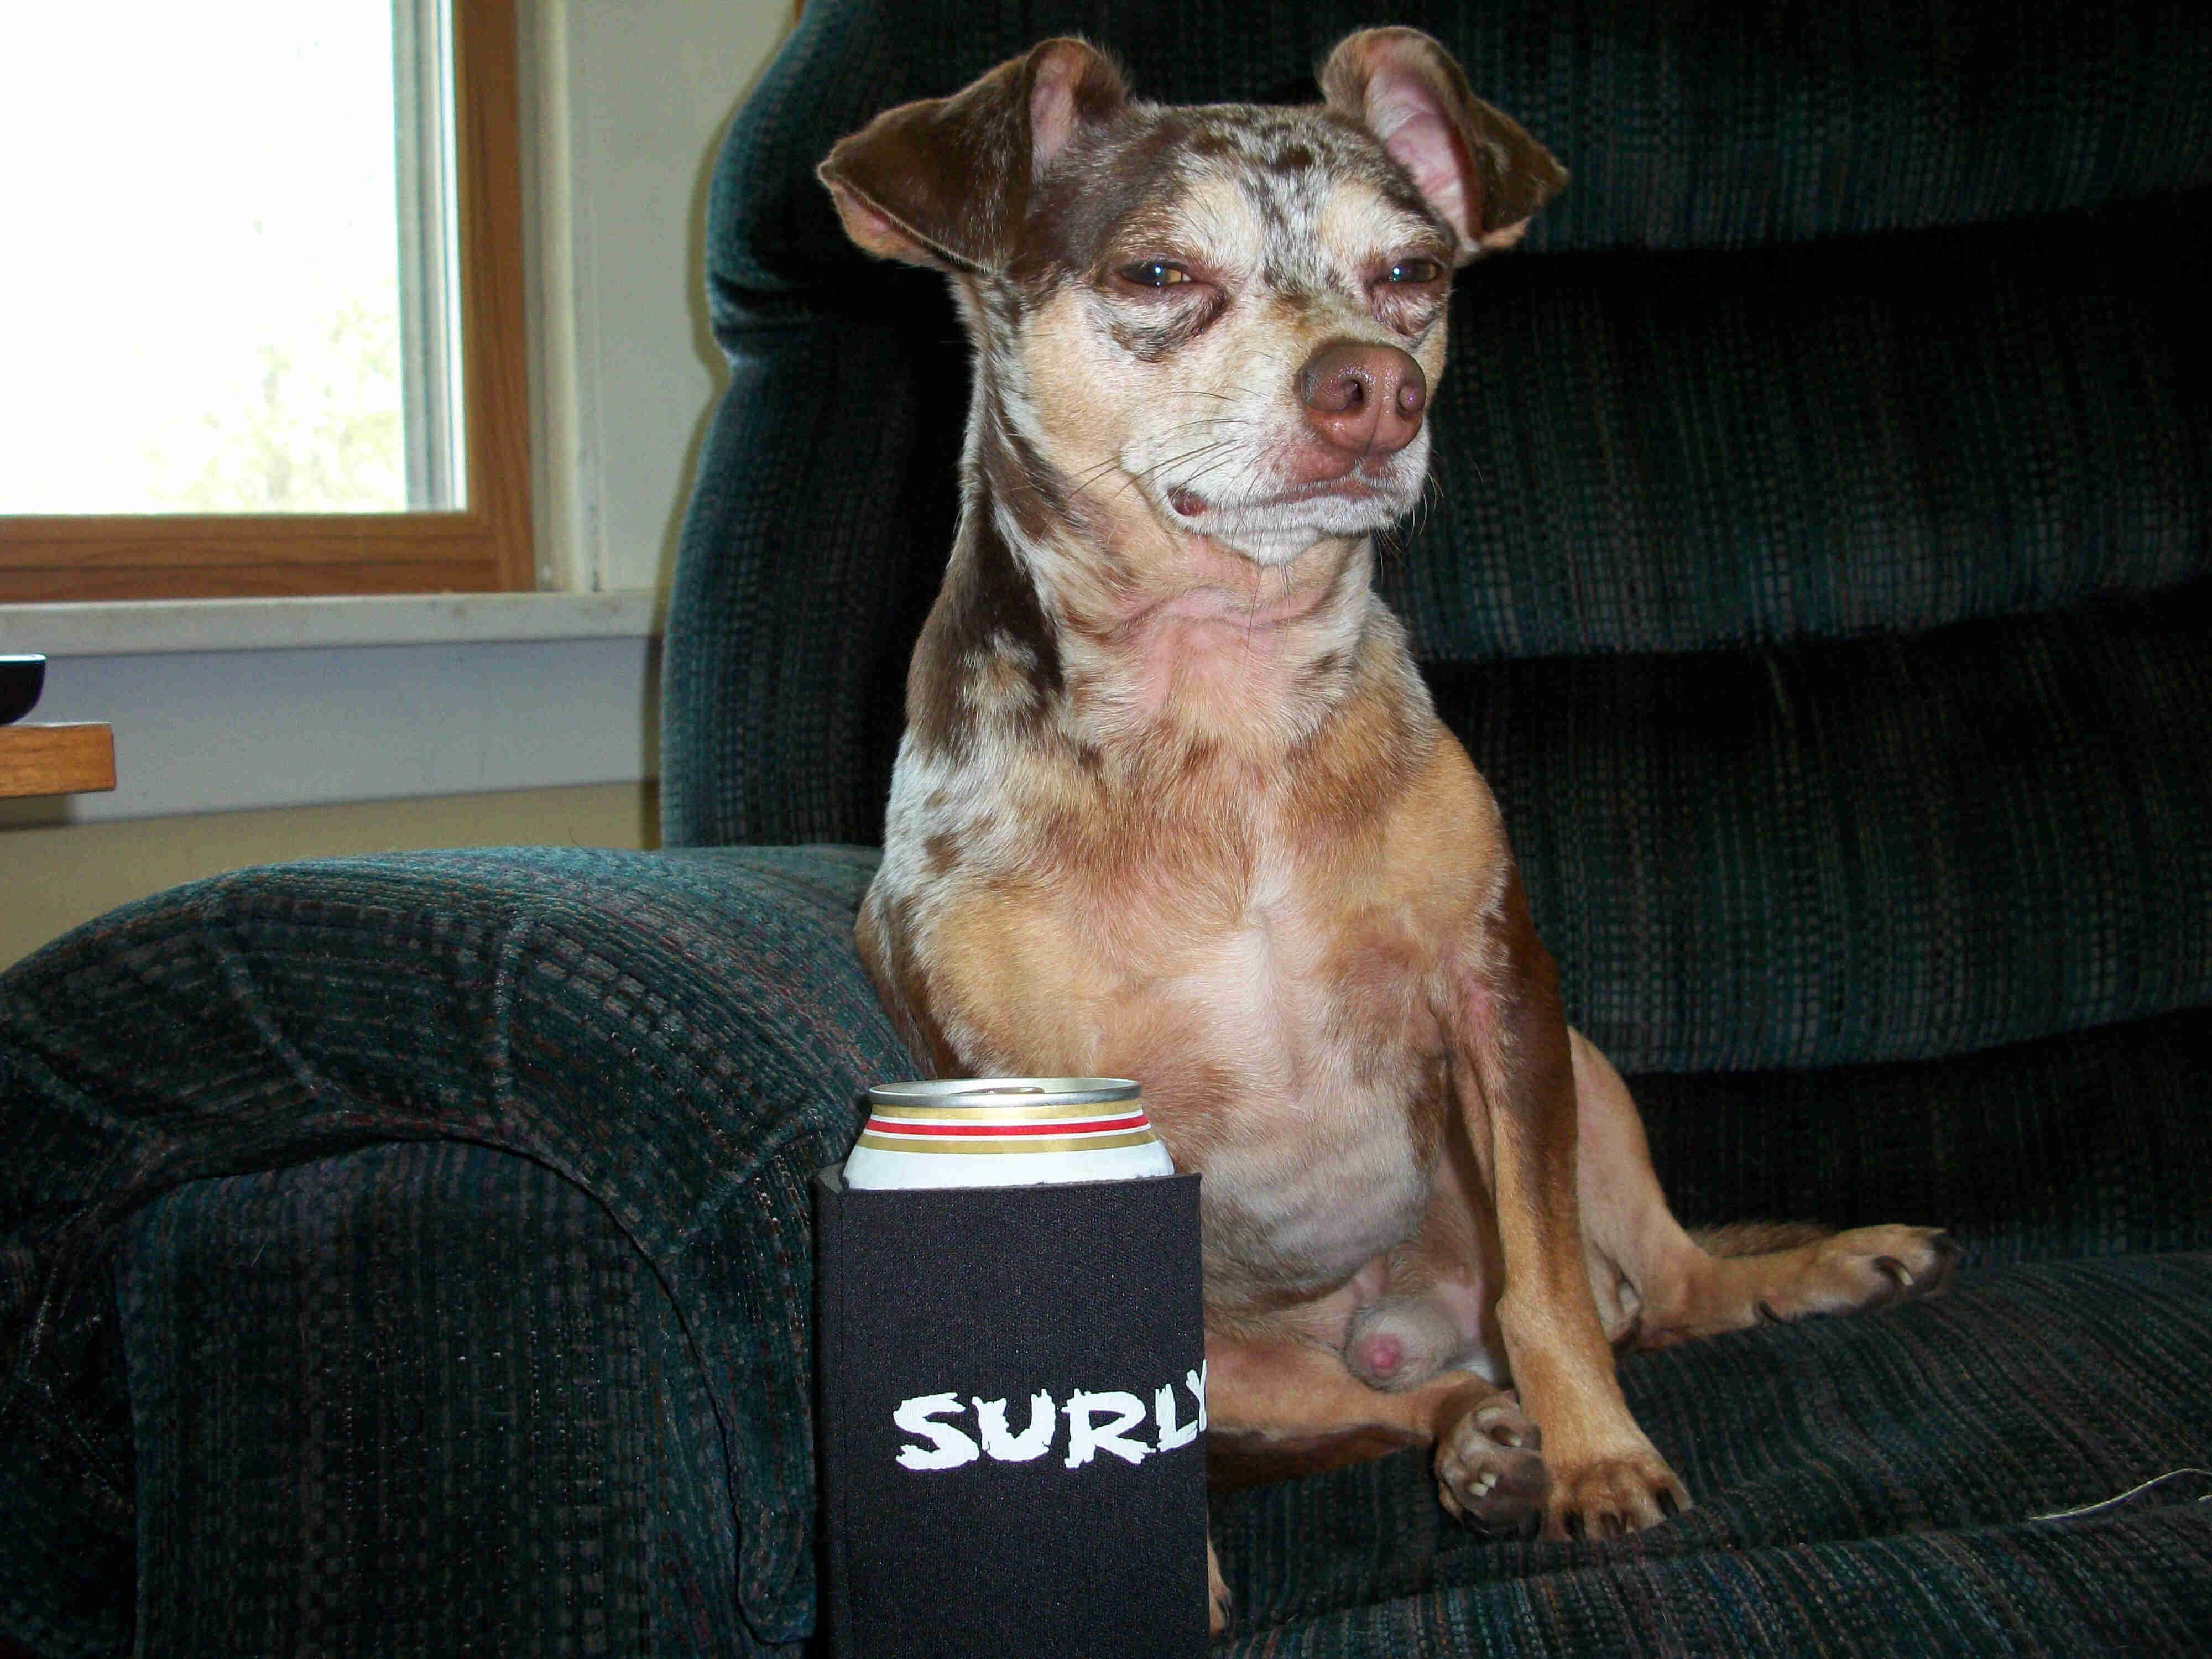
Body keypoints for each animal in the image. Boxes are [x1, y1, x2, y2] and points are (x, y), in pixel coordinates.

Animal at [827, 29, 1955, 1637]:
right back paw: (1474, 1439)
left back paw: (1782, 1287)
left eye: (1410, 273)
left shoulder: (1495, 993)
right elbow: (1129, 1409)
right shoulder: (1027, 1098)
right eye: (1159, 272)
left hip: (1585, 1076)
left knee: (1658, 1295)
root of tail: (1403, 1325)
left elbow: (1551, 1295)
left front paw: (1600, 1461)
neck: (1222, 719)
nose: (1372, 387)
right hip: (1273, 1361)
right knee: (1377, 1408)